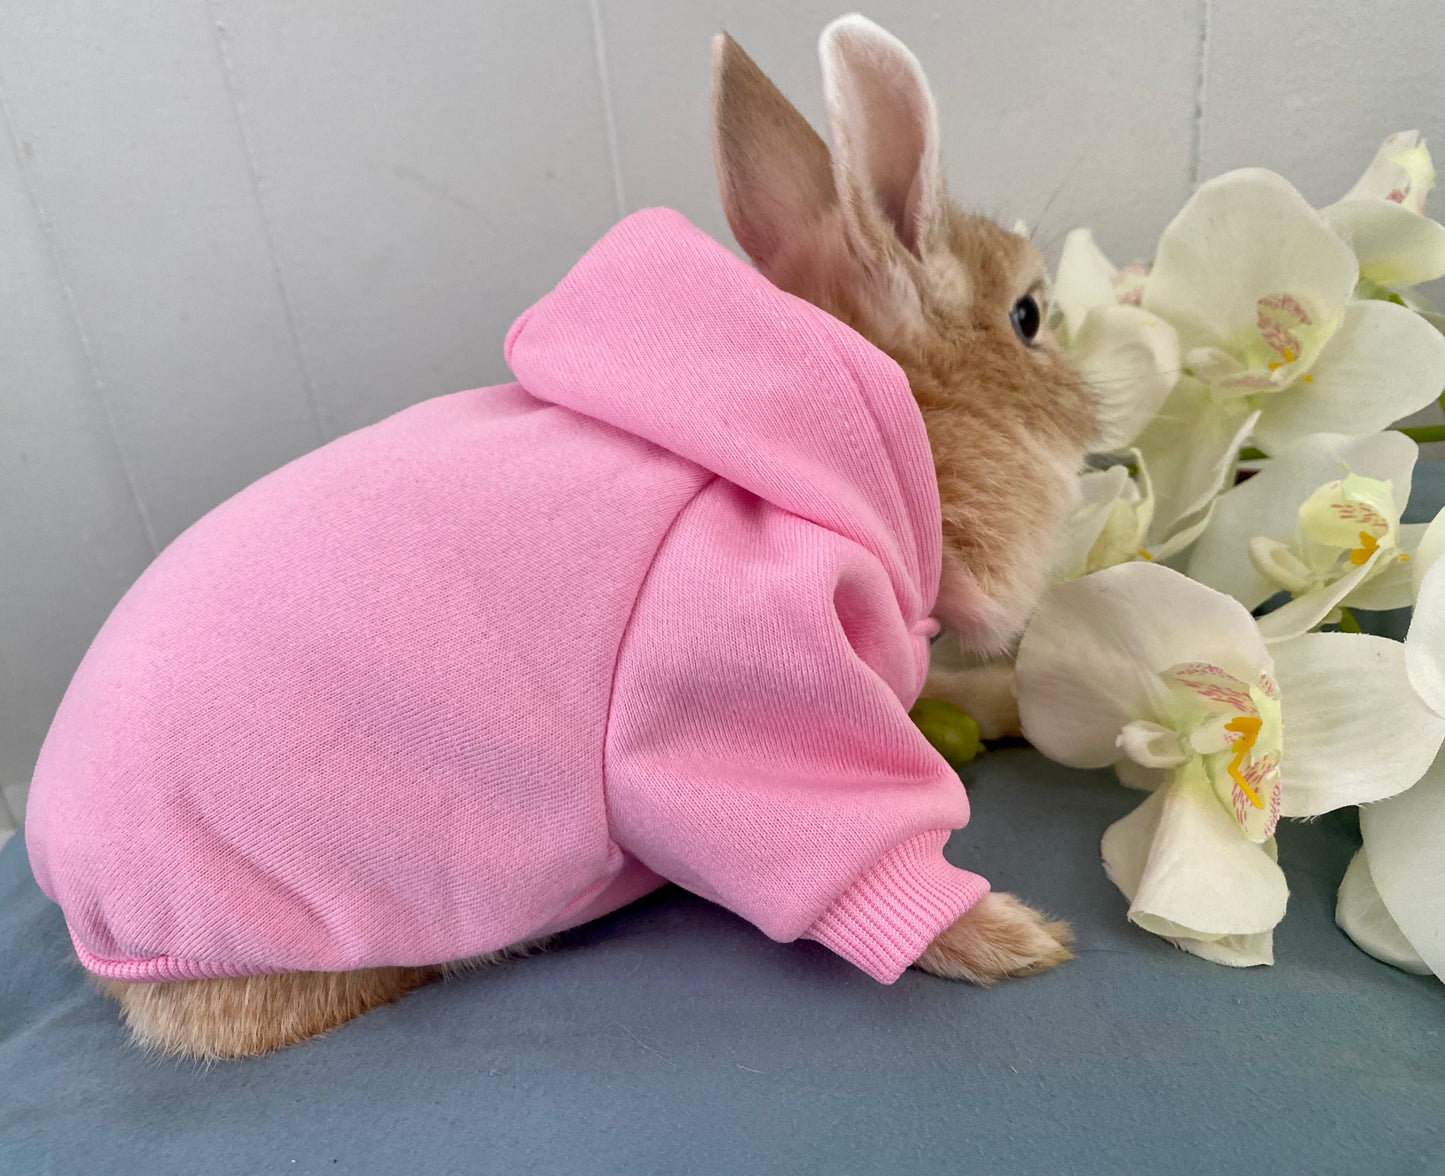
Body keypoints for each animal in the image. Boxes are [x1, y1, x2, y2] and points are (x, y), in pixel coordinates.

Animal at [90, 14, 1092, 1060]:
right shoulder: (739, 683)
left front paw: (1008, 705)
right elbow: (841, 841)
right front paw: (1006, 937)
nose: (1095, 416)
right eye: (1028, 315)